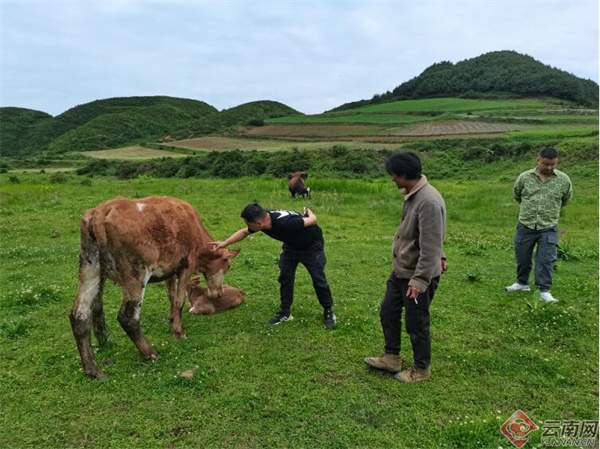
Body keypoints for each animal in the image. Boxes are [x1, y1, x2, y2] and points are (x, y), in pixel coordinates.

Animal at [70, 196, 239, 378]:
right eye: (228, 266)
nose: (219, 293)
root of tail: (103, 209)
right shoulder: (186, 265)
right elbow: (179, 300)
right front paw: (178, 331)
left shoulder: (170, 269)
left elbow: (171, 295)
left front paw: (171, 318)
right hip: (136, 275)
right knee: (128, 317)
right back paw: (150, 353)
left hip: (90, 268)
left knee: (79, 315)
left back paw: (93, 370)